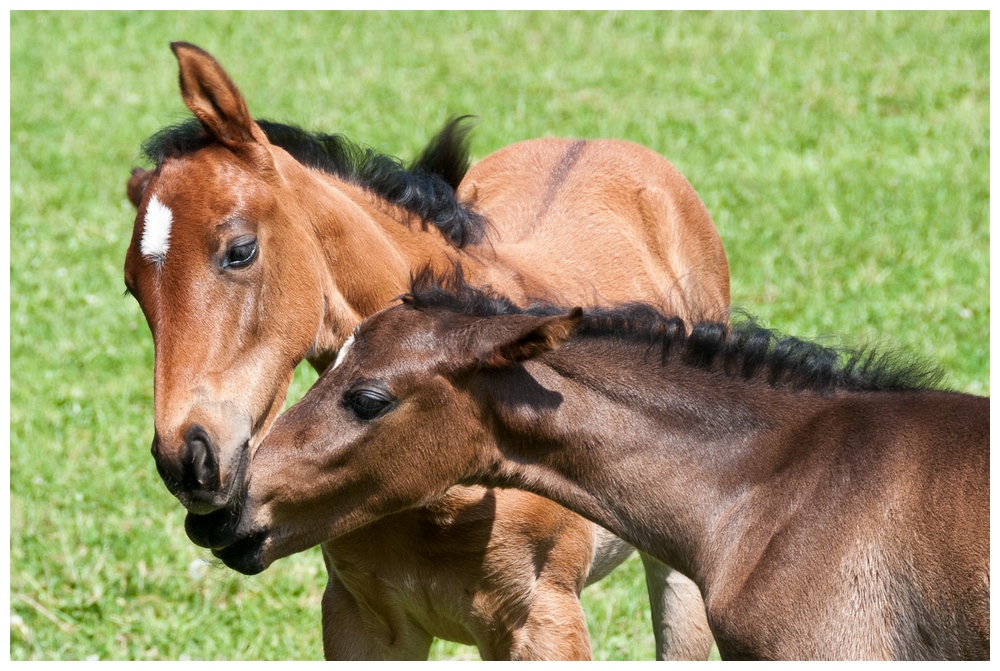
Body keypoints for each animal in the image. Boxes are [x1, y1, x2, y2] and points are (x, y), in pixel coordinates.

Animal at [125, 43, 732, 660]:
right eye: (132, 287)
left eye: (240, 250)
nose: (187, 460)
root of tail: (594, 140)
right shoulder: (361, 619)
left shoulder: (543, 622)